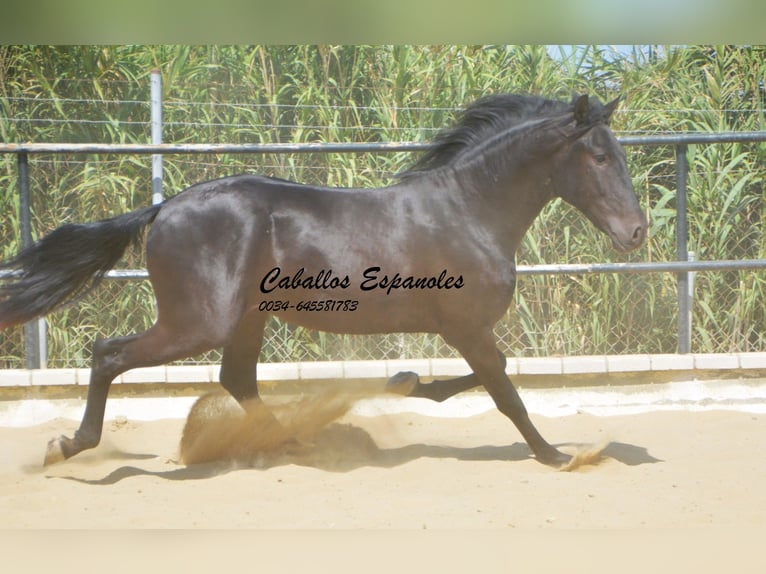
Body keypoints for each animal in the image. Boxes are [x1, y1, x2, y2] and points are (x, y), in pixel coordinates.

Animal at [0, 94, 648, 470]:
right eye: (598, 157)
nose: (636, 232)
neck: (468, 210)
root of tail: (164, 208)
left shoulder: (464, 330)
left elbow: (492, 380)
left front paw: (409, 381)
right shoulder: (466, 327)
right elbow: (506, 392)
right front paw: (559, 455)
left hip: (246, 318)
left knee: (237, 380)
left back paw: (291, 442)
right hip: (199, 321)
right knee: (109, 354)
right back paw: (68, 446)